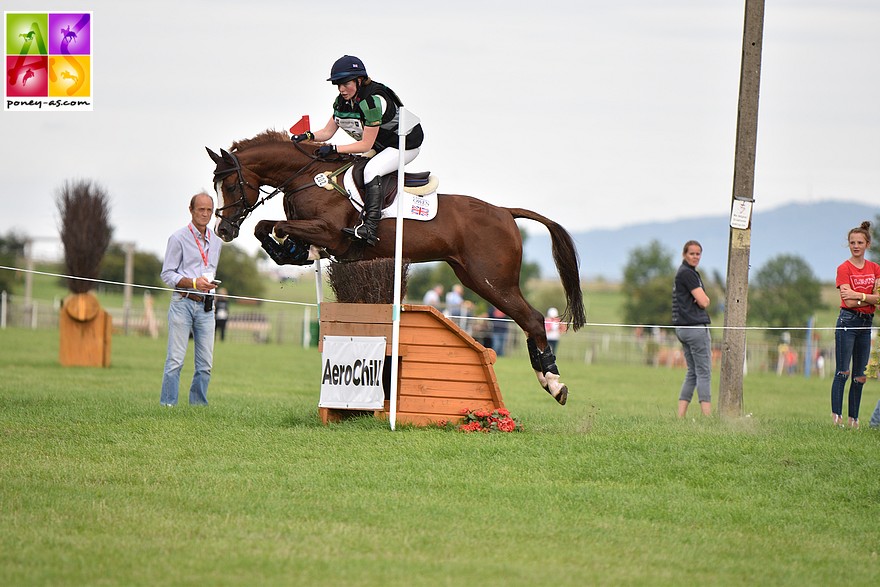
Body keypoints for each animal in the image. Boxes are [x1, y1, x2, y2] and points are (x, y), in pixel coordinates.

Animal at [208, 130, 584, 404]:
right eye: (216, 186)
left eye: (231, 185)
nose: (223, 231)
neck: (309, 177)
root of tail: (505, 211)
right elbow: (265, 227)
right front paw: (291, 252)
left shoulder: (331, 233)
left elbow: (277, 227)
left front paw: (291, 249)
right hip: (475, 278)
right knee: (527, 321)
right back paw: (549, 380)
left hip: (492, 281)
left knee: (533, 319)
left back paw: (554, 383)